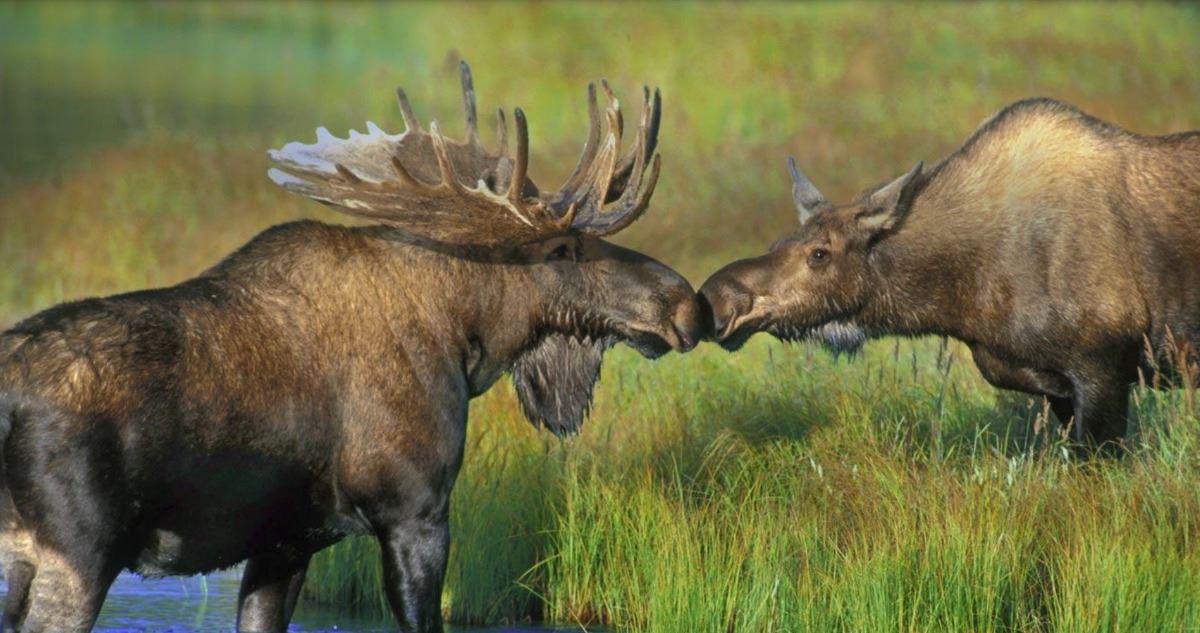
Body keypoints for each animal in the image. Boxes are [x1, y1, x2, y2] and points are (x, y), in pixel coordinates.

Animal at [0, 62, 702, 632]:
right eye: (567, 249)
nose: (687, 304)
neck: (463, 339)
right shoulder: (416, 511)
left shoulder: (284, 542)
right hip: (76, 552)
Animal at [699, 98, 1200, 455]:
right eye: (777, 242)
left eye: (819, 254)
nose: (717, 297)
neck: (964, 296)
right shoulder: (1052, 382)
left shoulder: (1103, 368)